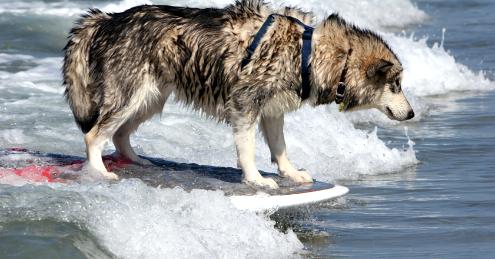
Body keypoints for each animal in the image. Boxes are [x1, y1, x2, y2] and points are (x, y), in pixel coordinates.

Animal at [64, 0, 416, 189]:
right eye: (396, 85)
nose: (412, 114)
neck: (308, 51)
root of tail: (108, 19)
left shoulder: (273, 111)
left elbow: (280, 148)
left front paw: (290, 173)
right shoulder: (245, 105)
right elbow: (247, 149)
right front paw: (256, 179)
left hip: (150, 99)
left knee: (119, 134)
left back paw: (137, 160)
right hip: (130, 96)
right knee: (94, 135)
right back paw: (99, 170)